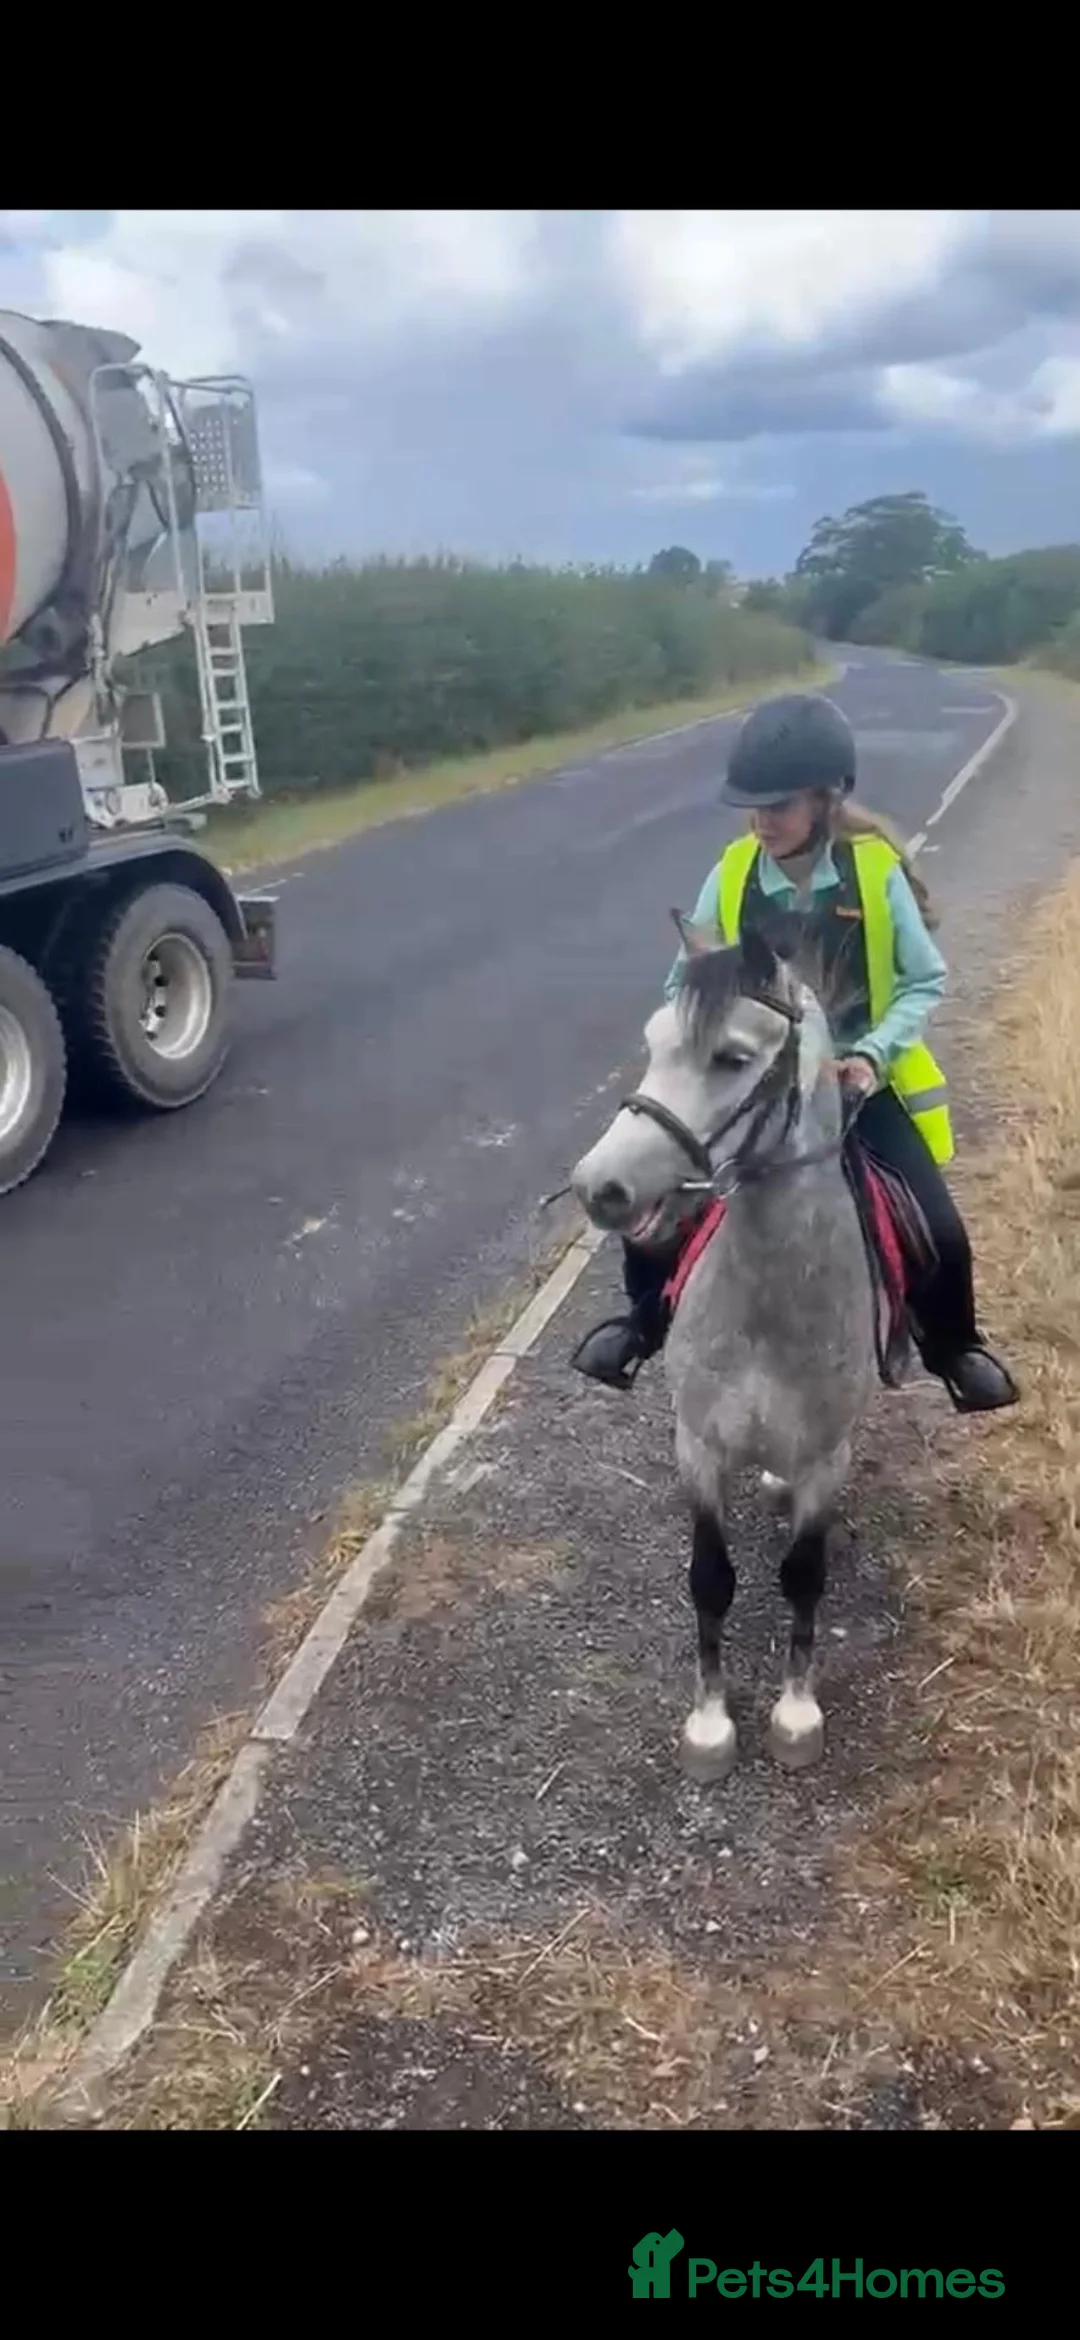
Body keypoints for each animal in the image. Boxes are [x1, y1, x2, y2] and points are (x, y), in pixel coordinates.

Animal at [570, 913, 883, 1782]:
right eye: (652, 1042)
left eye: (733, 1058)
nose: (598, 1186)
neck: (767, 1309)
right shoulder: (699, 1448)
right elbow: (709, 1581)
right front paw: (710, 1723)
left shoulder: (826, 1458)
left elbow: (803, 1578)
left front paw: (796, 1712)